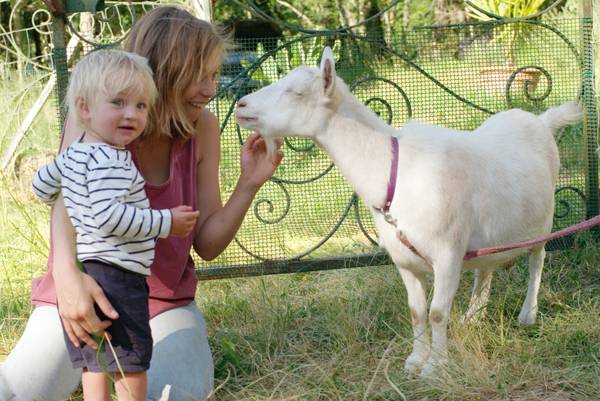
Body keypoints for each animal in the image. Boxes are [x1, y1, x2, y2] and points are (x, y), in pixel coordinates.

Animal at [236, 47, 580, 376]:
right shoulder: (405, 261)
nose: (240, 105)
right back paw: (473, 316)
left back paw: (528, 314)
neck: (398, 173)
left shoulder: (447, 254)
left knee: (537, 260)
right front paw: (416, 360)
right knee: (486, 269)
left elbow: (437, 313)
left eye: (295, 92)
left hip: (542, 222)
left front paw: (436, 367)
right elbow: (416, 312)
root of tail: (541, 120)